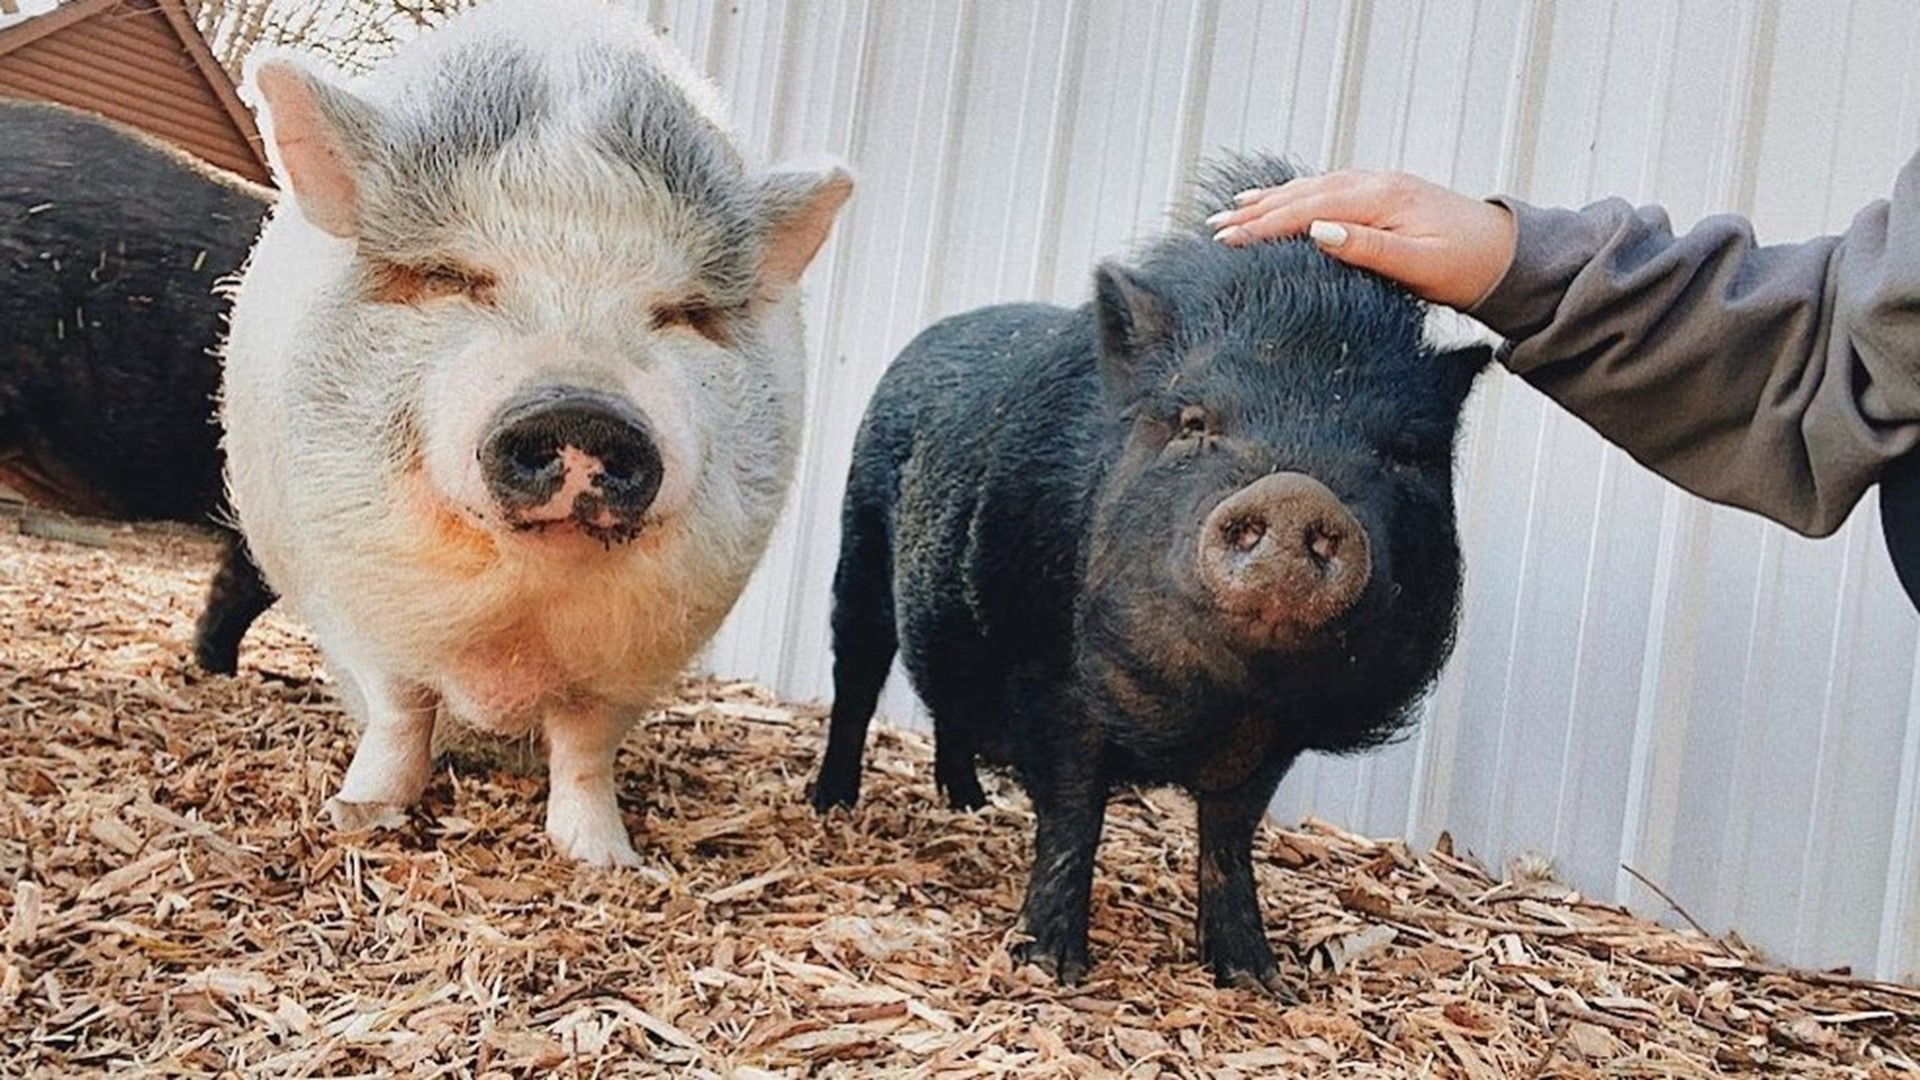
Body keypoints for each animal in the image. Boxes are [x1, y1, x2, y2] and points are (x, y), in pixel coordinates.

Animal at [220, 0, 850, 867]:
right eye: (451, 277)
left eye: (684, 313)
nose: (582, 410)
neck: (516, 627)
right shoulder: (362, 606)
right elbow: (400, 712)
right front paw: (358, 817)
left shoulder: (633, 666)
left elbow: (584, 748)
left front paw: (607, 861)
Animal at [811, 154, 1490, 991]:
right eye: (1194, 421)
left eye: (1403, 452)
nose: (1296, 491)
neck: (1216, 705)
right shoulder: (1047, 670)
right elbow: (1074, 811)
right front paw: (1050, 966)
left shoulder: (1274, 736)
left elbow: (1229, 836)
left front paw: (1258, 980)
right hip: (860, 547)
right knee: (857, 679)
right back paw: (833, 804)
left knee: (948, 707)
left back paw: (970, 807)